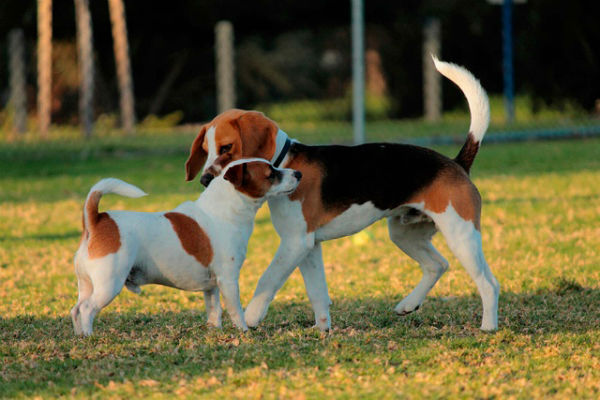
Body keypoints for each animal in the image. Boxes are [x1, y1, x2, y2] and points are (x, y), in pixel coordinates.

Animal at [71, 159, 302, 334]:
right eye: (271, 174)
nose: (298, 173)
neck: (223, 212)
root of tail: (97, 220)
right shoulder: (228, 280)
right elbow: (236, 310)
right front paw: (244, 331)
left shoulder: (212, 286)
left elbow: (214, 310)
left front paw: (214, 331)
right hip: (109, 284)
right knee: (87, 309)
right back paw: (90, 335)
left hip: (87, 284)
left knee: (76, 309)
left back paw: (80, 336)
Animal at [186, 56, 502, 332]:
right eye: (206, 150)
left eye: (227, 148)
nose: (204, 179)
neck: (286, 160)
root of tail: (456, 162)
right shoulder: (309, 246)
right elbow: (317, 292)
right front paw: (322, 328)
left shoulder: (295, 243)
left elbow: (268, 278)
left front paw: (251, 316)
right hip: (404, 233)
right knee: (437, 265)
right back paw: (409, 304)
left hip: (461, 233)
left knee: (489, 283)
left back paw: (488, 326)